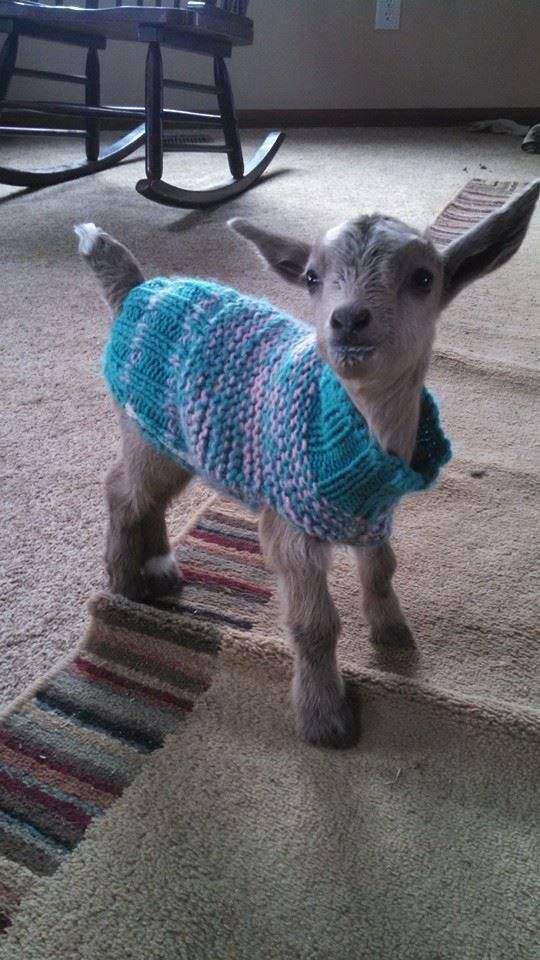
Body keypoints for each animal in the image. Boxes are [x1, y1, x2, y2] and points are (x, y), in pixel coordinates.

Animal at [75, 179, 539, 748]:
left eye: (424, 278)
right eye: (313, 277)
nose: (348, 319)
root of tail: (137, 292)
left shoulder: (373, 512)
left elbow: (381, 569)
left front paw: (393, 635)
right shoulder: (290, 524)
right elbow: (315, 626)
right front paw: (325, 720)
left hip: (171, 435)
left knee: (151, 498)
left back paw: (160, 568)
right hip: (142, 427)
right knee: (123, 490)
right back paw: (126, 581)